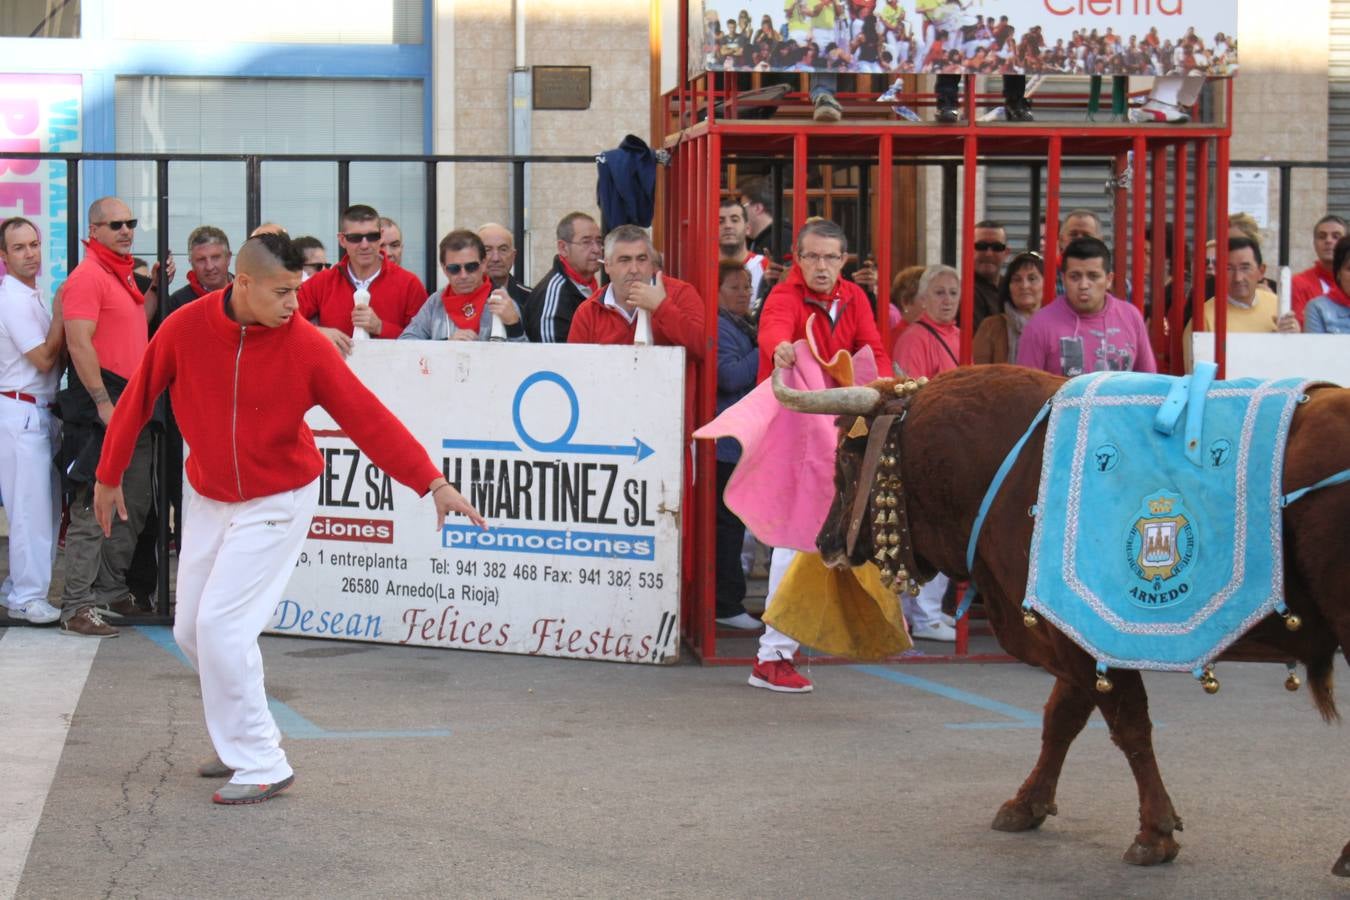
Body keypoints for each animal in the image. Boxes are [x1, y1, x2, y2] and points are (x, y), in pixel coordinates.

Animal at [777, 361, 1350, 874]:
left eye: (843, 461)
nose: (824, 542)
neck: (1008, 463)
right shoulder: (1068, 630)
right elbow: (1063, 718)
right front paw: (1027, 803)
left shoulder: (1084, 635)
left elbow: (1127, 724)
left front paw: (1154, 832)